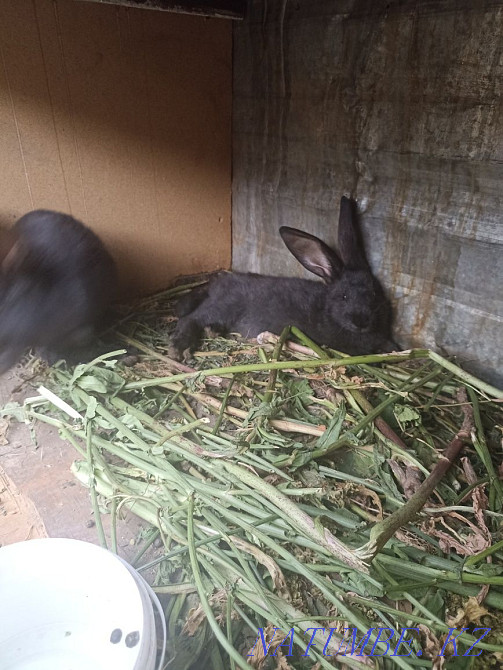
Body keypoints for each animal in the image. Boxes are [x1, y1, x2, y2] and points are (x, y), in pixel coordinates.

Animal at [169, 196, 398, 361]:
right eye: (343, 297)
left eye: (375, 293)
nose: (361, 321)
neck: (328, 312)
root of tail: (216, 285)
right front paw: (392, 348)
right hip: (221, 306)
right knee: (191, 318)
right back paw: (179, 347)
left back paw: (212, 331)